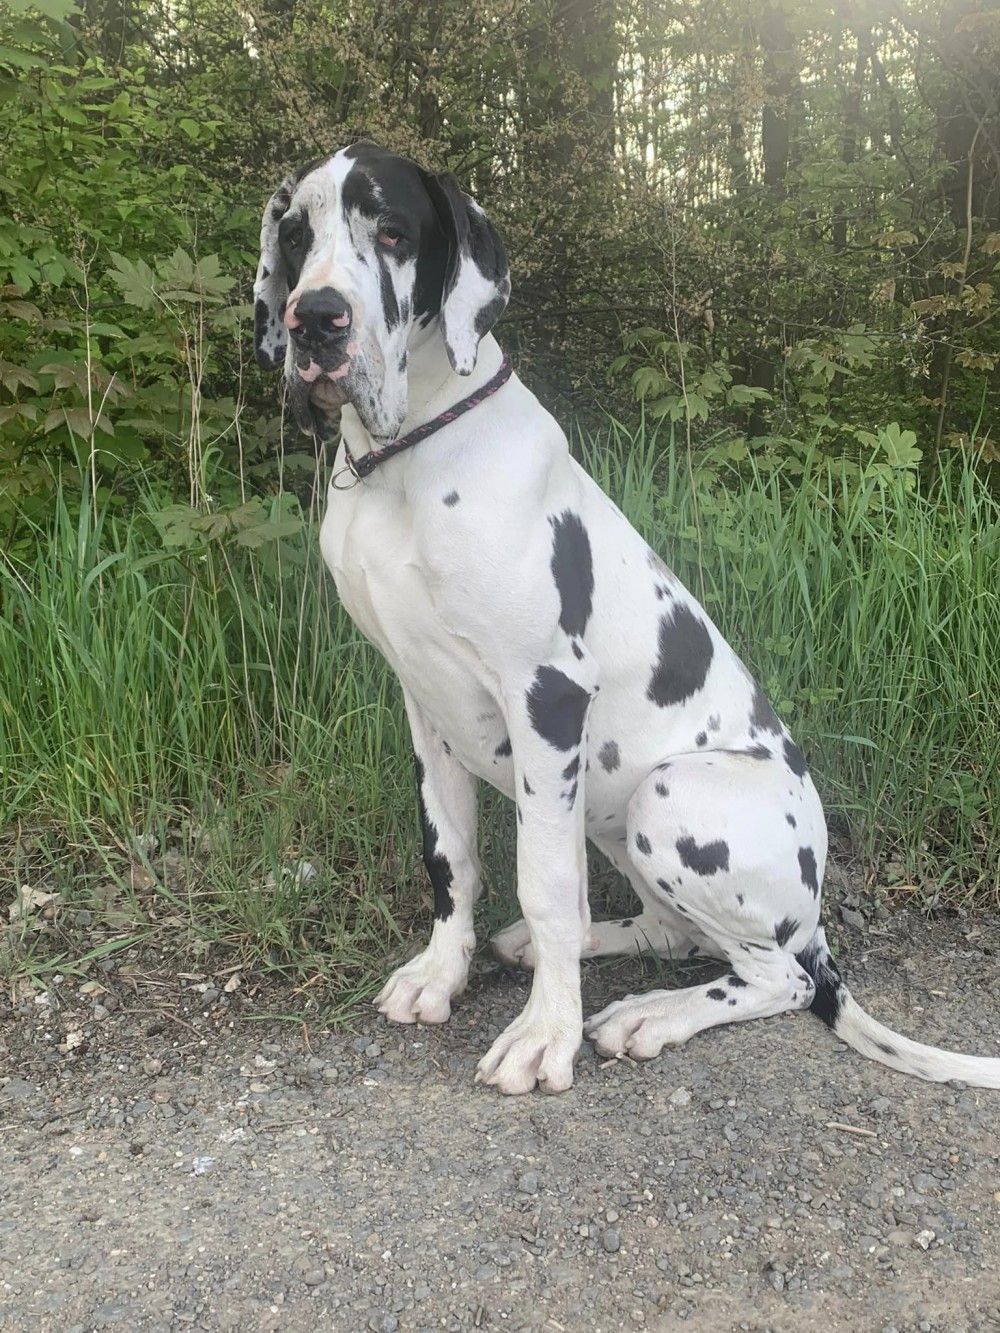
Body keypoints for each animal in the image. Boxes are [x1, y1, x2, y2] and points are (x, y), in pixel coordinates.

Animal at [254, 142, 1000, 1094]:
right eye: (297, 234)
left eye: (391, 230)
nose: (316, 320)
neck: (407, 457)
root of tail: (814, 914)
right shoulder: (424, 704)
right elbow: (451, 856)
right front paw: (443, 972)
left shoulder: (547, 696)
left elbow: (541, 883)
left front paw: (545, 1034)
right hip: (612, 816)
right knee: (673, 933)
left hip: (667, 796)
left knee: (778, 978)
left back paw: (652, 1013)